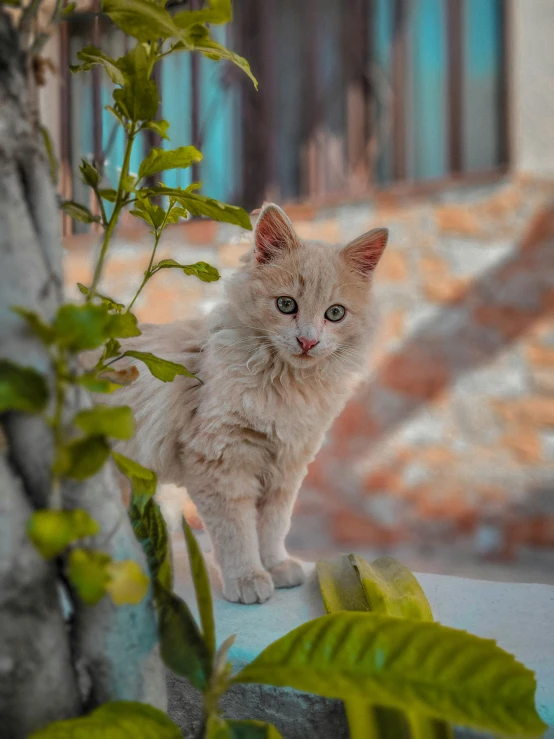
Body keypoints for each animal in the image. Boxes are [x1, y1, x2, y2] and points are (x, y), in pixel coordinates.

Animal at [105, 202, 386, 600]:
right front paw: (247, 578)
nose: (308, 341)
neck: (284, 384)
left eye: (335, 313)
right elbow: (236, 530)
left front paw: (277, 567)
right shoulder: (219, 458)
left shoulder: (287, 465)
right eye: (286, 305)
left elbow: (272, 526)